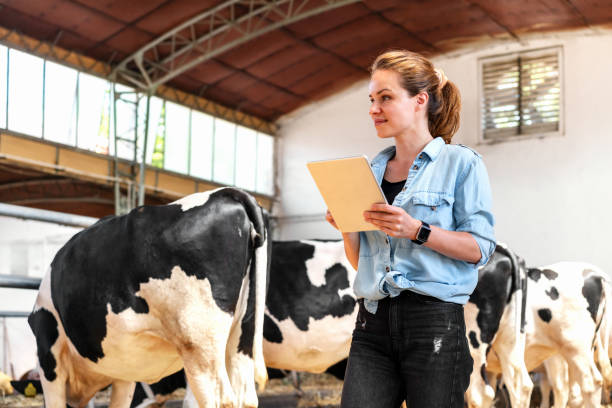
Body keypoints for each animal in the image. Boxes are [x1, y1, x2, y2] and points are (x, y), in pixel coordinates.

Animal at [26, 188, 270, 408]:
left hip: (199, 341)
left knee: (220, 397)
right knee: (246, 397)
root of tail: (226, 193)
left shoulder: (50, 358)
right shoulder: (124, 374)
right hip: (242, 335)